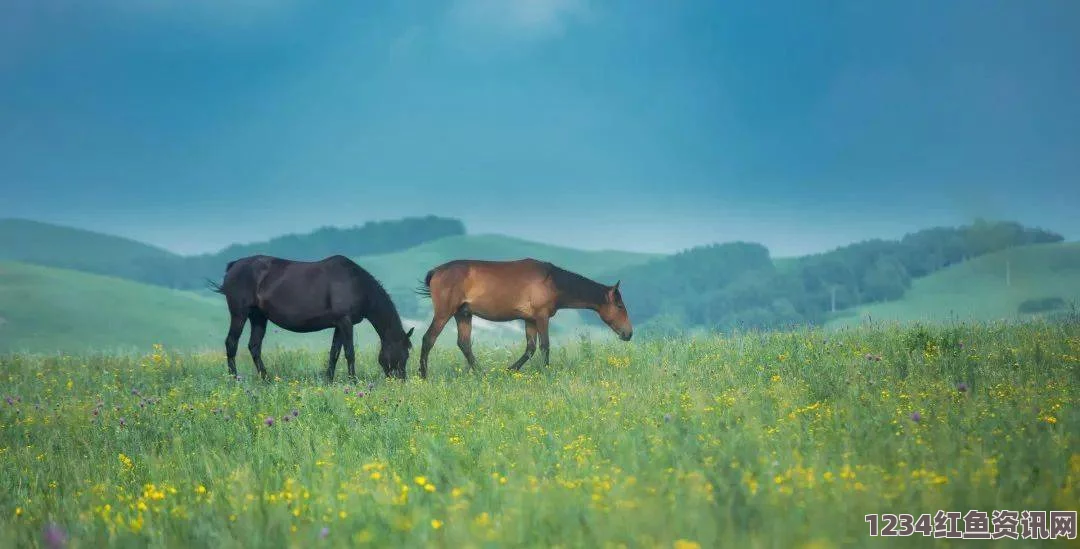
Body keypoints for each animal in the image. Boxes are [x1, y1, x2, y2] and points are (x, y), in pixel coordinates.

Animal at [206, 256, 412, 382]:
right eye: (404, 353)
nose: (401, 381)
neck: (356, 283)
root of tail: (234, 265)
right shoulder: (345, 322)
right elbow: (349, 353)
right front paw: (353, 381)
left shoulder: (339, 325)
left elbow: (334, 353)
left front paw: (329, 380)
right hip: (239, 314)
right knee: (231, 343)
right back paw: (234, 379)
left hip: (258, 317)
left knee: (254, 346)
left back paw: (266, 379)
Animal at [412, 257, 630, 378]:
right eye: (620, 306)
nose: (628, 333)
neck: (552, 281)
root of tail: (436, 271)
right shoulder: (542, 317)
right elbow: (545, 346)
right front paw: (546, 372)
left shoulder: (530, 320)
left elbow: (530, 348)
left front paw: (510, 370)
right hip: (444, 313)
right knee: (428, 339)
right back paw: (423, 375)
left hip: (463, 314)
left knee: (464, 344)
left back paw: (481, 373)